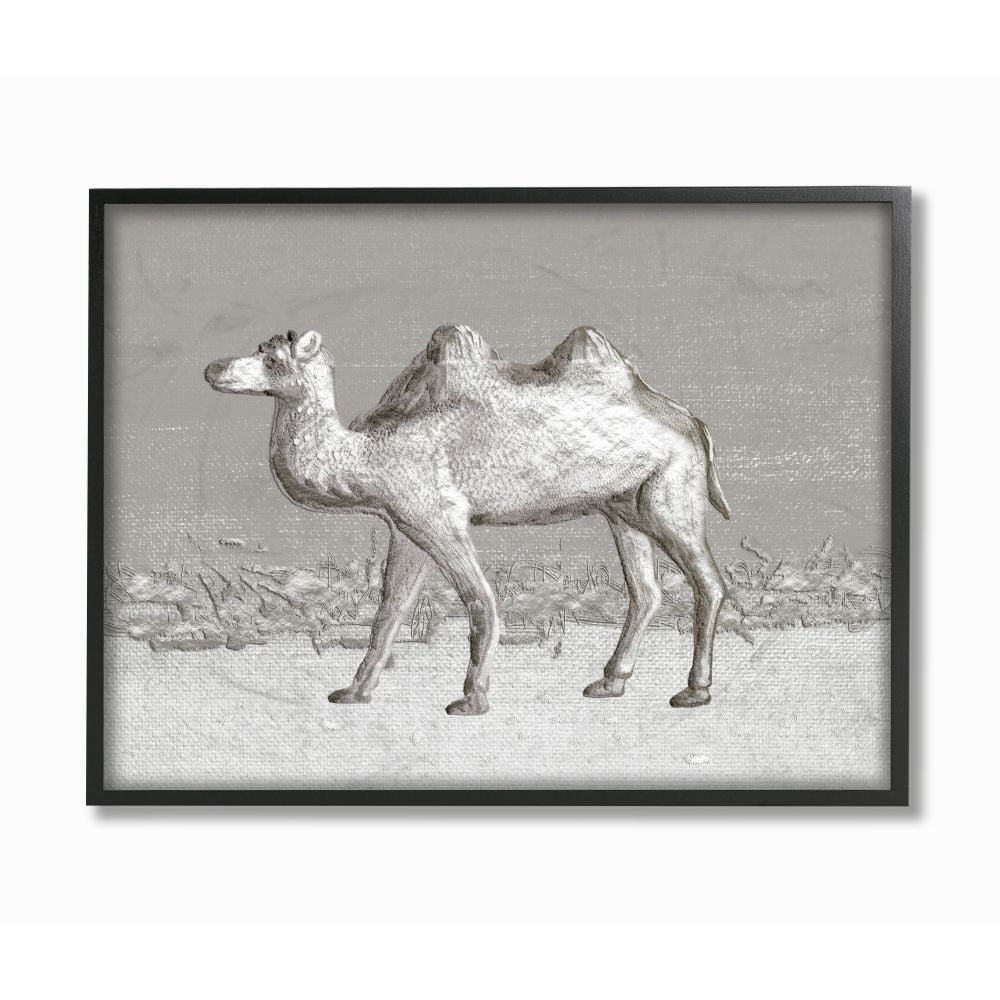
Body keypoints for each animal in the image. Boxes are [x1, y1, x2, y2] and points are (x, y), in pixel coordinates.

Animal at [205, 324, 731, 716]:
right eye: (259, 348)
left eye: (274, 358)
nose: (213, 367)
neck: (368, 454)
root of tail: (694, 423)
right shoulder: (407, 527)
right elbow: (390, 610)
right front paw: (354, 692)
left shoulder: (440, 518)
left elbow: (481, 599)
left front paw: (472, 698)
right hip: (622, 507)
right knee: (646, 590)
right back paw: (610, 682)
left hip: (670, 495)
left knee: (708, 582)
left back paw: (694, 690)